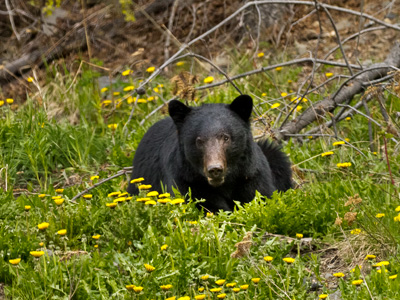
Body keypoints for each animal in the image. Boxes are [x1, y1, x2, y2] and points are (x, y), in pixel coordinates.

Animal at [127, 94, 290, 211]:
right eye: (199, 141)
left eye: (226, 137)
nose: (215, 169)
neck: (225, 183)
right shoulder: (185, 180)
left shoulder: (251, 174)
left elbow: (261, 195)